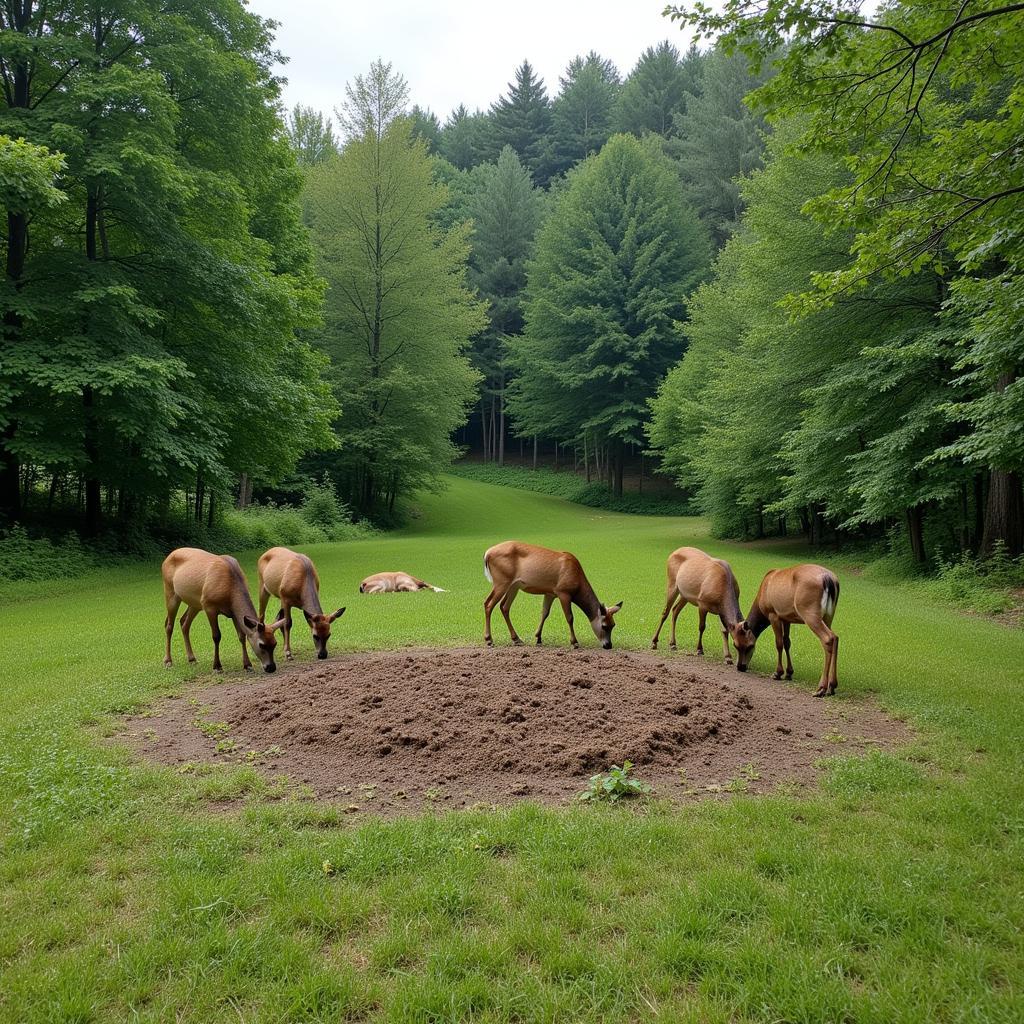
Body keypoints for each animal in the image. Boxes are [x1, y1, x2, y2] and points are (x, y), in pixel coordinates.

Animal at [481, 544, 618, 647]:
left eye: (613, 625)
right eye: (604, 626)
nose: (608, 645)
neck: (577, 583)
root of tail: (487, 554)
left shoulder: (550, 593)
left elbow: (544, 613)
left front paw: (538, 638)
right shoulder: (563, 592)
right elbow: (570, 617)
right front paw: (574, 642)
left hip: (514, 586)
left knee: (504, 606)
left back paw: (516, 639)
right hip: (501, 581)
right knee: (488, 603)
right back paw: (489, 639)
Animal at [737, 561, 839, 696]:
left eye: (749, 646)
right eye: (735, 645)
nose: (740, 667)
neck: (761, 599)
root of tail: (829, 580)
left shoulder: (773, 614)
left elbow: (778, 643)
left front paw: (778, 673)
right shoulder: (786, 618)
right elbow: (787, 642)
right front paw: (789, 673)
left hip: (810, 612)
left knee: (828, 638)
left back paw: (821, 687)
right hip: (829, 615)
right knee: (835, 637)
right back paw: (832, 686)